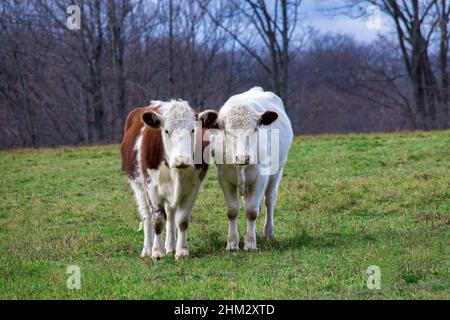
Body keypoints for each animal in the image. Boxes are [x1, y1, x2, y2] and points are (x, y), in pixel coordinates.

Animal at [120, 100, 217, 260]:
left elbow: (182, 221)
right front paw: (157, 252)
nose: (181, 160)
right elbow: (158, 220)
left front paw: (181, 251)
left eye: (193, 130)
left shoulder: (193, 188)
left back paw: (171, 247)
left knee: (171, 216)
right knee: (147, 217)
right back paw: (147, 249)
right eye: (166, 131)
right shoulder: (152, 188)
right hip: (139, 189)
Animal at [215, 87, 294, 250]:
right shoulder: (224, 178)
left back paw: (268, 233)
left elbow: (252, 211)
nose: (242, 158)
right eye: (227, 131)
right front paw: (232, 243)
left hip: (278, 170)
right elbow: (232, 211)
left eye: (255, 129)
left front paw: (250, 243)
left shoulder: (260, 178)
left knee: (269, 200)